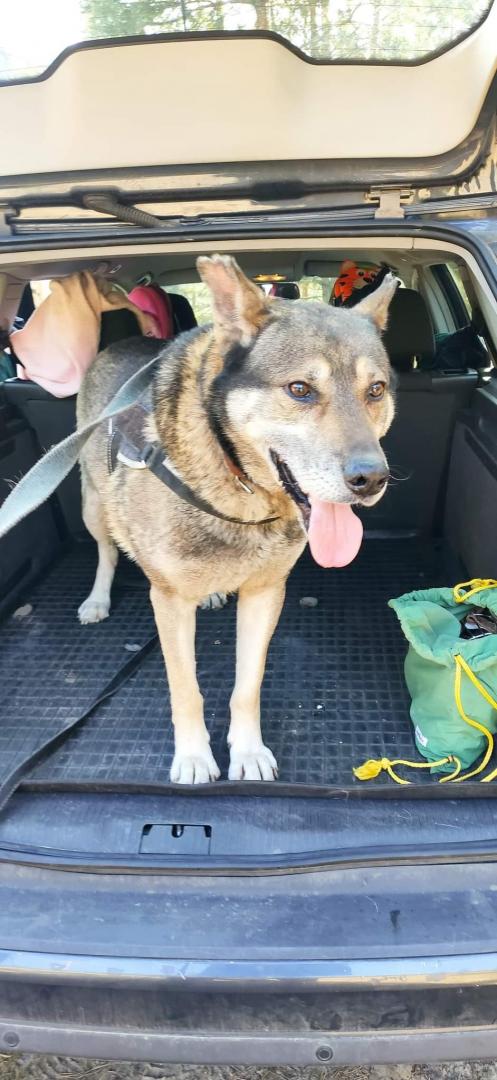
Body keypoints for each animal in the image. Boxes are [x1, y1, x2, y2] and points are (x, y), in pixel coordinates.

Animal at [77, 255, 397, 783]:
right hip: (93, 506)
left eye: (376, 390)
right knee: (106, 549)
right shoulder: (168, 601)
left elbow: (247, 686)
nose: (372, 479)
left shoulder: (266, 594)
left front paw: (247, 751)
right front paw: (192, 757)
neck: (241, 493)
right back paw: (98, 599)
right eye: (300, 389)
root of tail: (121, 341)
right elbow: (186, 690)